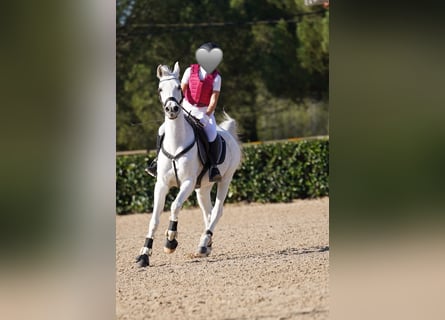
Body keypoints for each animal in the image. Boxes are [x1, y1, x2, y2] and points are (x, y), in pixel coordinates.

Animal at [135, 61, 241, 266]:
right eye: (160, 89)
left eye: (178, 88)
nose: (172, 109)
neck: (176, 141)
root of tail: (227, 133)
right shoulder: (161, 184)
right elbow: (154, 219)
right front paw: (144, 254)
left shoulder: (188, 183)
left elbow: (174, 206)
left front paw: (170, 241)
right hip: (203, 188)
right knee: (208, 213)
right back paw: (206, 245)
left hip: (225, 180)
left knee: (217, 211)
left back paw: (203, 244)